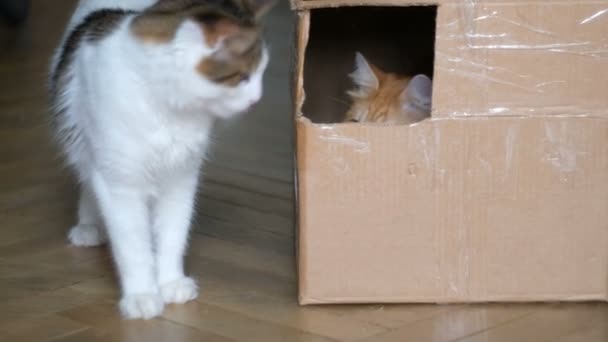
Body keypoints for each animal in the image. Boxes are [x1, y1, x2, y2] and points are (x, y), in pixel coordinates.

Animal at [48, 0, 274, 320]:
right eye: (242, 77)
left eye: (262, 73)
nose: (257, 100)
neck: (169, 109)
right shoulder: (120, 183)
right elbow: (134, 247)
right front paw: (142, 295)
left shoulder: (180, 179)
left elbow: (173, 235)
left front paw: (170, 282)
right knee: (88, 181)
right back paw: (89, 226)